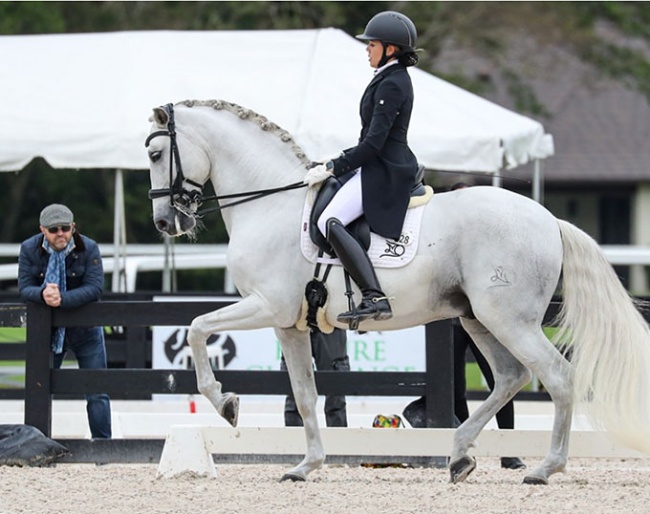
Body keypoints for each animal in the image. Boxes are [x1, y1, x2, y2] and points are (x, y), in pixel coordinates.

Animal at [146, 98, 648, 482]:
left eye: (153, 155)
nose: (166, 223)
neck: (271, 204)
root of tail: (549, 219)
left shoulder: (266, 306)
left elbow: (197, 327)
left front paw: (226, 404)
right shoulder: (290, 324)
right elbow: (305, 395)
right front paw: (306, 466)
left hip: (509, 319)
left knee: (557, 376)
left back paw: (545, 468)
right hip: (477, 318)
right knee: (511, 377)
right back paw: (460, 455)